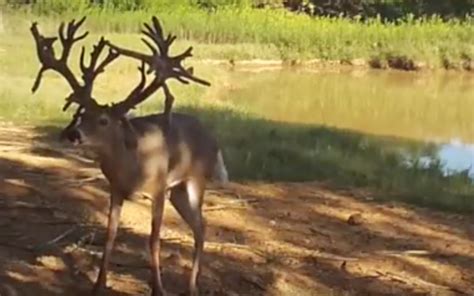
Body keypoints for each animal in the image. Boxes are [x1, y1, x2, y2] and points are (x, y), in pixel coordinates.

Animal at [30, 16, 229, 296]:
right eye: (82, 114)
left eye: (103, 120)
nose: (73, 134)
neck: (133, 164)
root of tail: (213, 138)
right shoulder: (116, 190)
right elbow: (110, 236)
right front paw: (98, 284)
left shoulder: (158, 189)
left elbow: (154, 240)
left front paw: (158, 289)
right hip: (178, 191)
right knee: (201, 226)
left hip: (195, 180)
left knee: (201, 228)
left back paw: (192, 288)